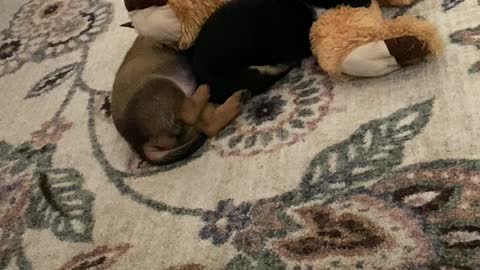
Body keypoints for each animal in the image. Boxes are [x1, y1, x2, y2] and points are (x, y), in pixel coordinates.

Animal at [113, 35, 248, 165]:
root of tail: (139, 145)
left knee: (209, 126)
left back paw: (236, 100)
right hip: (160, 85)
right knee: (192, 114)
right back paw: (208, 91)